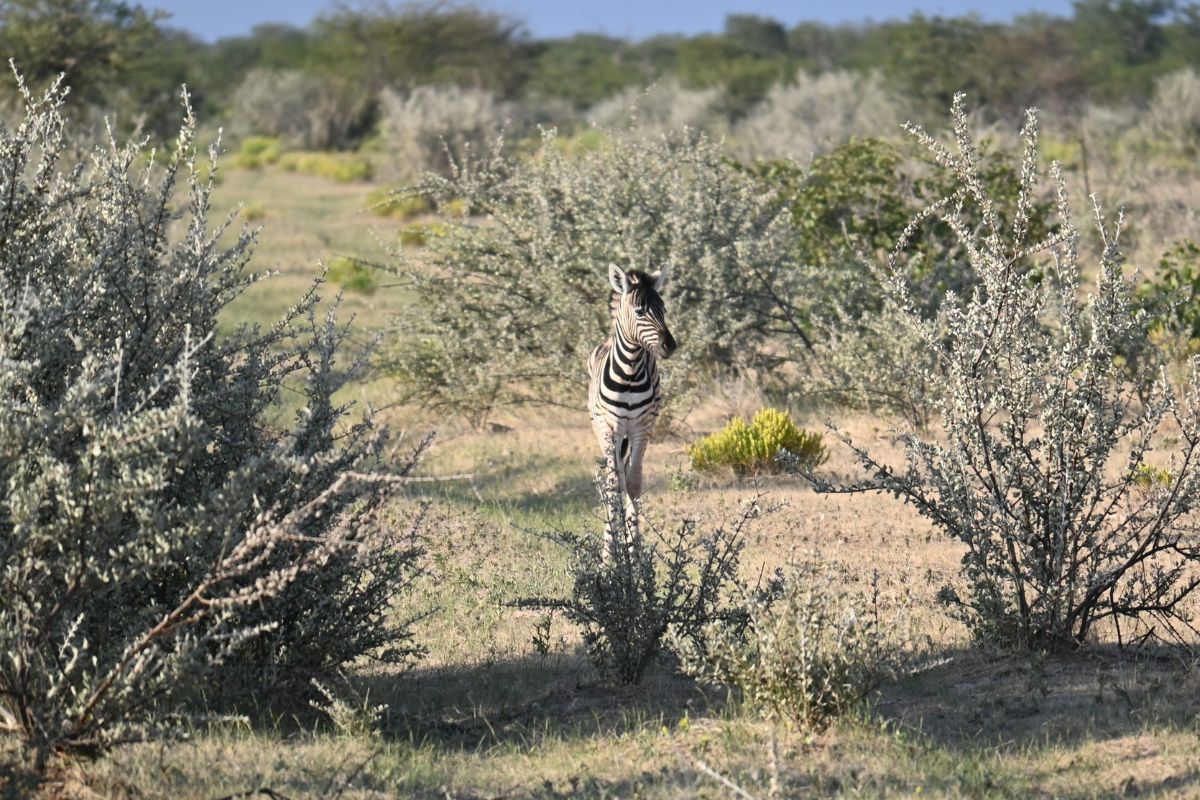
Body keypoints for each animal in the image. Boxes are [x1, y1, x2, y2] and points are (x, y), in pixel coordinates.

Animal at [588, 262, 676, 520]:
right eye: (639, 312)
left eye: (664, 310)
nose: (670, 346)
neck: (628, 372)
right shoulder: (609, 428)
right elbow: (614, 484)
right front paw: (614, 532)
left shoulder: (641, 428)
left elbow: (634, 483)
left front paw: (632, 532)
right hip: (601, 430)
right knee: (613, 476)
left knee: (624, 473)